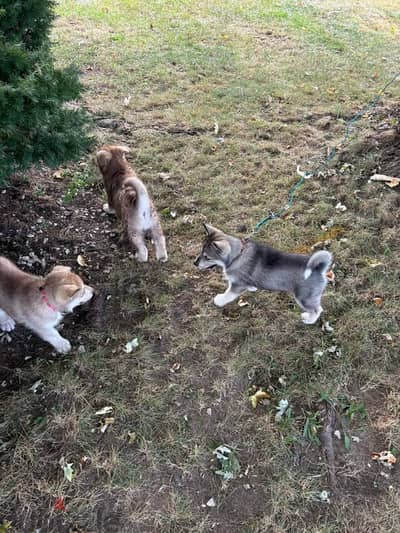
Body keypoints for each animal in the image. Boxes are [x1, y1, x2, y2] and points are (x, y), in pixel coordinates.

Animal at [195, 222, 332, 322]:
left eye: (207, 257)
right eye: (201, 251)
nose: (195, 263)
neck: (237, 255)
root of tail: (319, 268)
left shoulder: (237, 285)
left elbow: (228, 294)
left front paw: (219, 300)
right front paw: (252, 288)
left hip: (304, 297)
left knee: (317, 310)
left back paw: (309, 319)